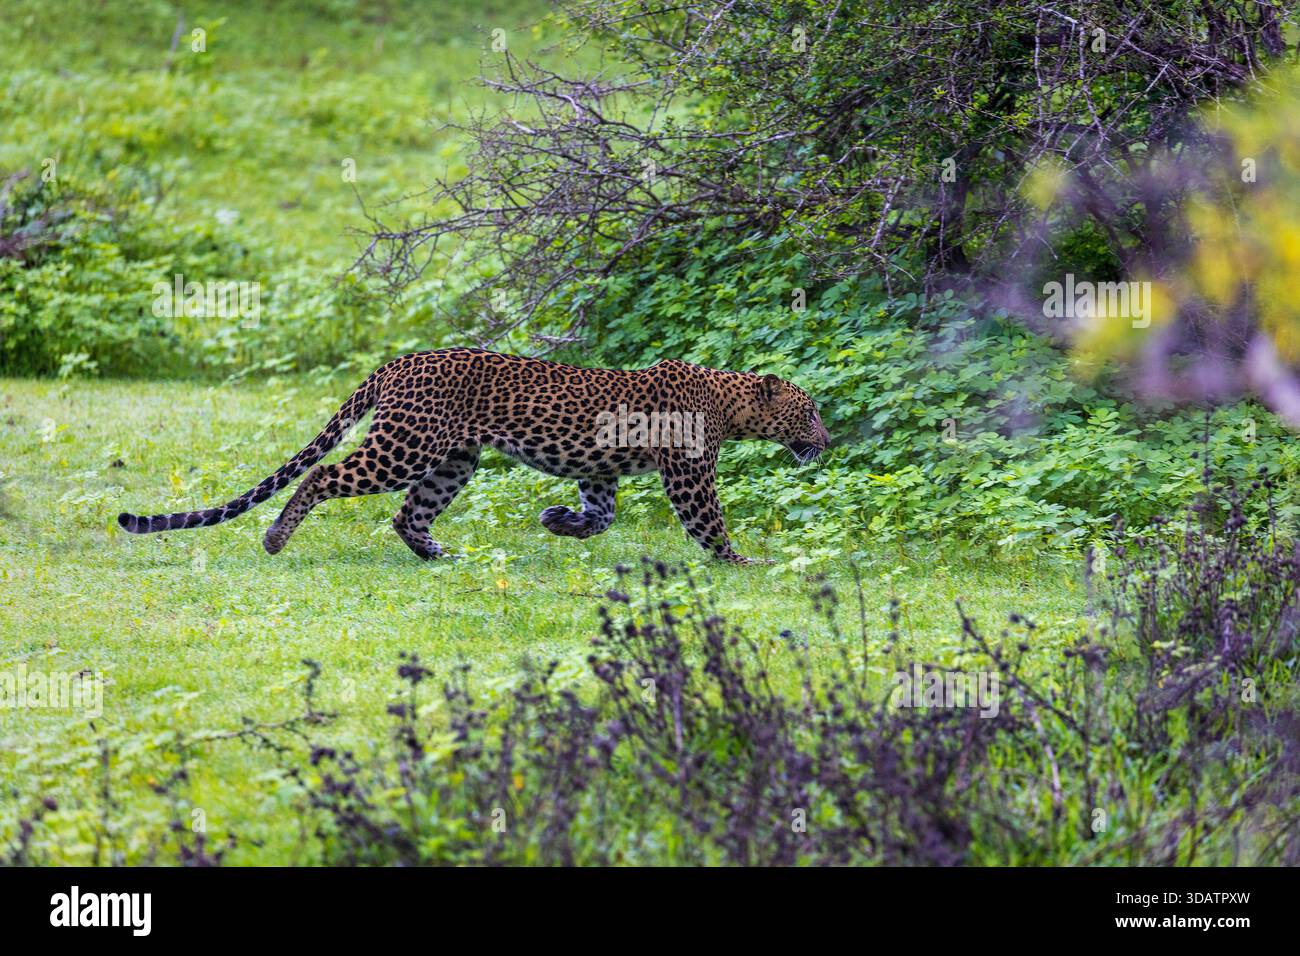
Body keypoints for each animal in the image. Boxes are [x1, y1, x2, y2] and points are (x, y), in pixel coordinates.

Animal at [118, 348, 830, 563]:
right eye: (809, 411)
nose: (828, 442)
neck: (728, 400)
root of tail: (399, 360)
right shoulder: (688, 476)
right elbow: (709, 524)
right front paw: (744, 564)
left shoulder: (598, 473)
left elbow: (600, 516)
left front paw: (556, 522)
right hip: (405, 445)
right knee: (323, 474)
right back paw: (274, 537)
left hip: (455, 458)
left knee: (408, 513)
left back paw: (439, 554)